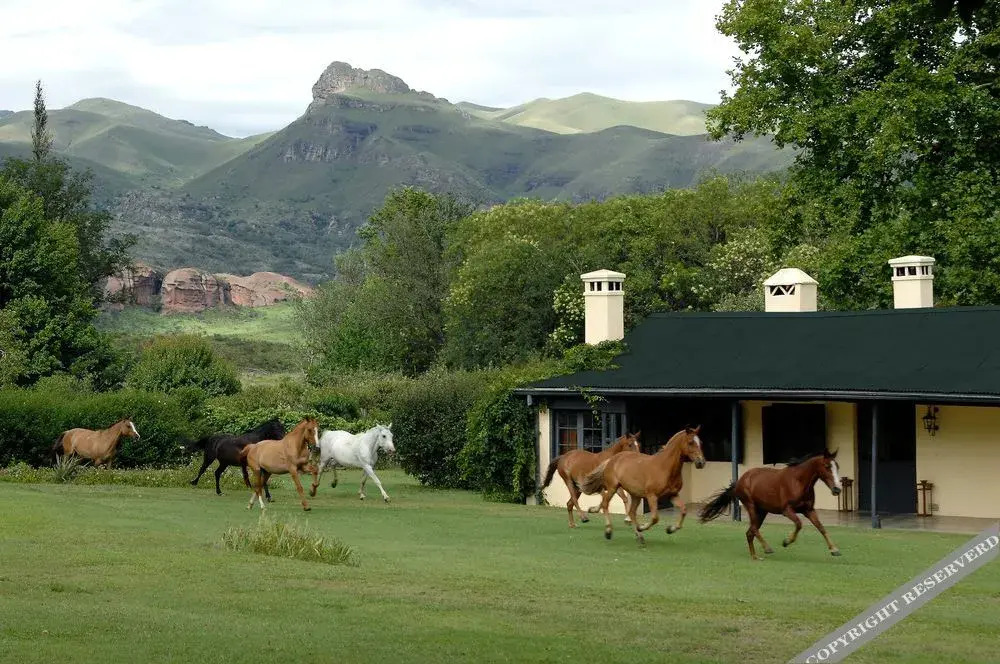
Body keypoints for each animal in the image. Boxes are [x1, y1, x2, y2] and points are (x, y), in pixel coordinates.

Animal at [698, 449, 843, 560]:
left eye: (837, 467)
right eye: (827, 466)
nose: (837, 489)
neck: (798, 482)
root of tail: (739, 481)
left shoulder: (809, 510)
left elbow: (821, 527)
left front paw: (834, 549)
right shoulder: (787, 510)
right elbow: (799, 524)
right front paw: (786, 542)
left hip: (762, 511)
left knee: (750, 532)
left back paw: (755, 556)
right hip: (751, 506)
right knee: (753, 529)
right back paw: (767, 548)